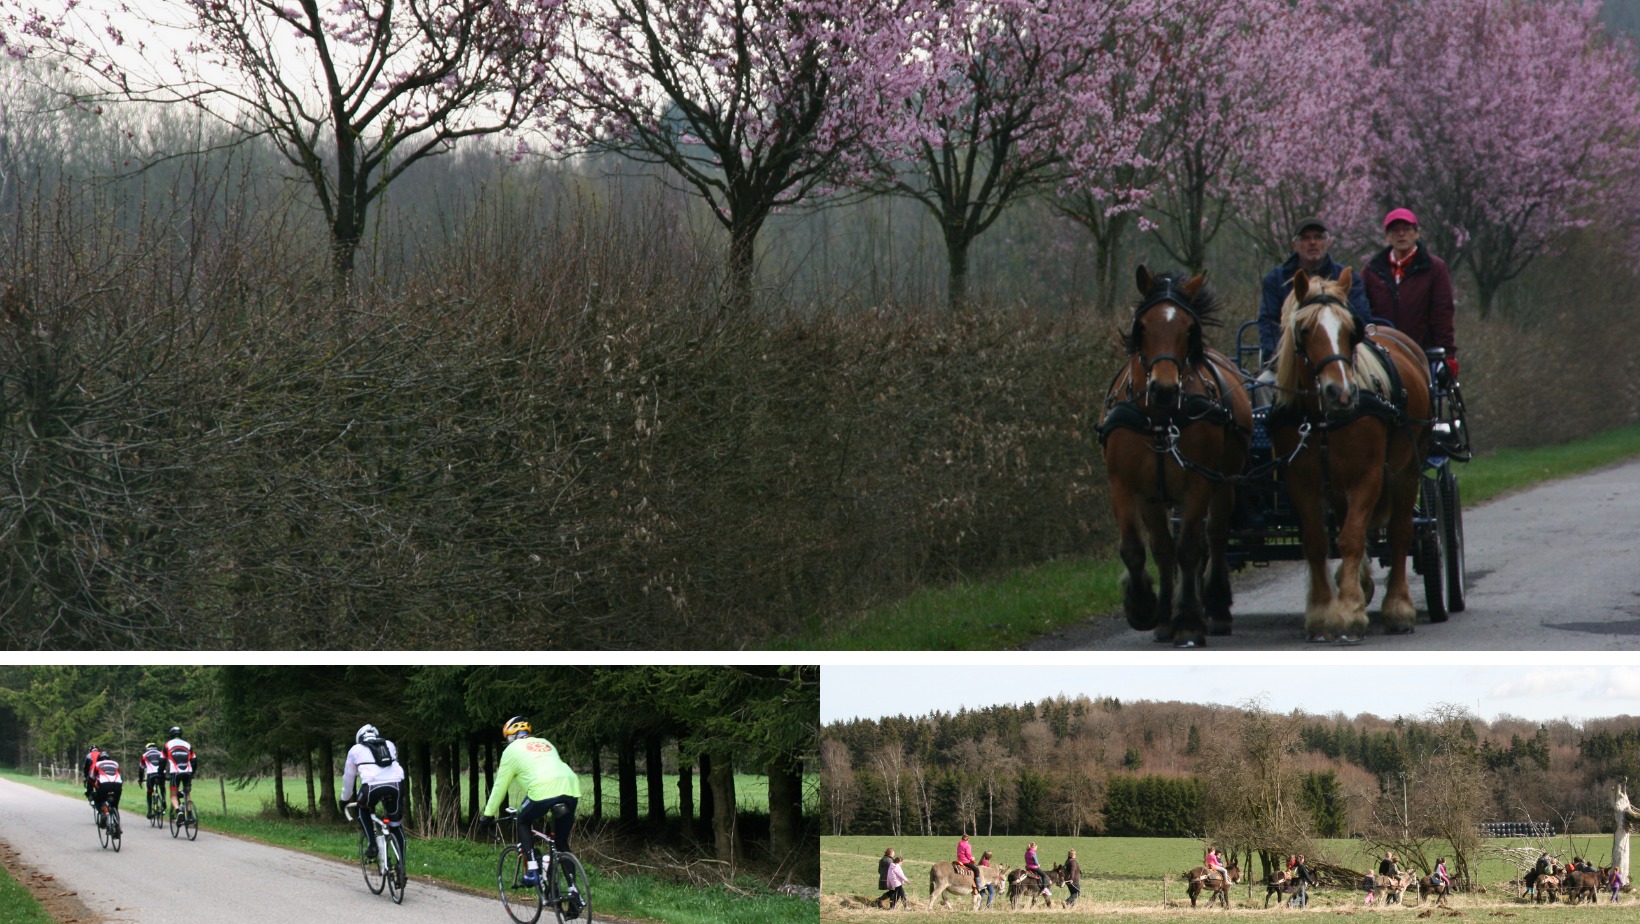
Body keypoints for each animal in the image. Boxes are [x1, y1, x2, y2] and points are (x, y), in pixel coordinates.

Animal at [1102, 264, 1252, 646]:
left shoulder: (1198, 482)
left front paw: (1188, 620)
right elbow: (1139, 549)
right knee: (1165, 548)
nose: (1165, 389)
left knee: (1214, 536)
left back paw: (1216, 607)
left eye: (1188, 329)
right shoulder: (1127, 487)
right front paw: (1146, 609)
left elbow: (1188, 549)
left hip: (1225, 481)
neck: (1159, 418)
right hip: (1158, 497)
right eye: (1142, 327)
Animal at [1259, 267, 1430, 640]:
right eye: (1305, 330)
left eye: (1352, 332)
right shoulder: (1301, 481)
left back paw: (1398, 607)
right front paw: (1324, 611)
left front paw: (1349, 611)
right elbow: (1317, 541)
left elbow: (1351, 538)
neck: (1323, 419)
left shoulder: (1368, 476)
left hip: (1406, 469)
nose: (1340, 392)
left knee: (1400, 533)